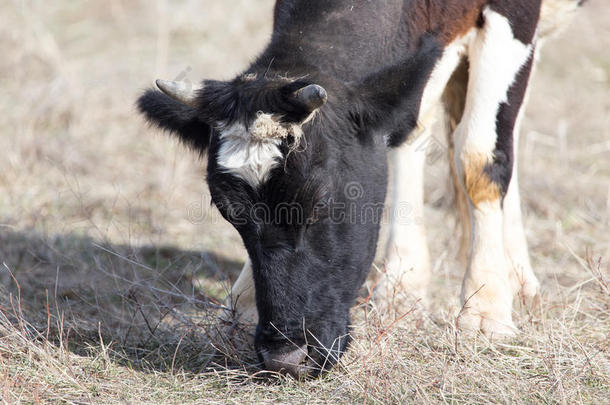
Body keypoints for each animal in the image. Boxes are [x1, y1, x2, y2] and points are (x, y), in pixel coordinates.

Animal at [137, 0, 584, 376]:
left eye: (320, 202)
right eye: (230, 213)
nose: (285, 358)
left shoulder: (514, 18)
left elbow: (479, 156)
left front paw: (486, 310)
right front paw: (242, 304)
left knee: (504, 131)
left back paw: (514, 279)